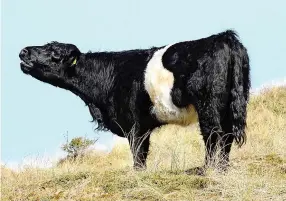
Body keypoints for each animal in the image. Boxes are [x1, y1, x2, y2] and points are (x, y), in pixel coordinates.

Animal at [19, 29, 249, 173]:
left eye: (54, 53)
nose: (23, 51)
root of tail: (223, 37)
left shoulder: (134, 124)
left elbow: (138, 153)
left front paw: (137, 174)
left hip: (208, 106)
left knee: (213, 135)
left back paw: (209, 169)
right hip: (231, 105)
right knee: (227, 136)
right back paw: (222, 168)